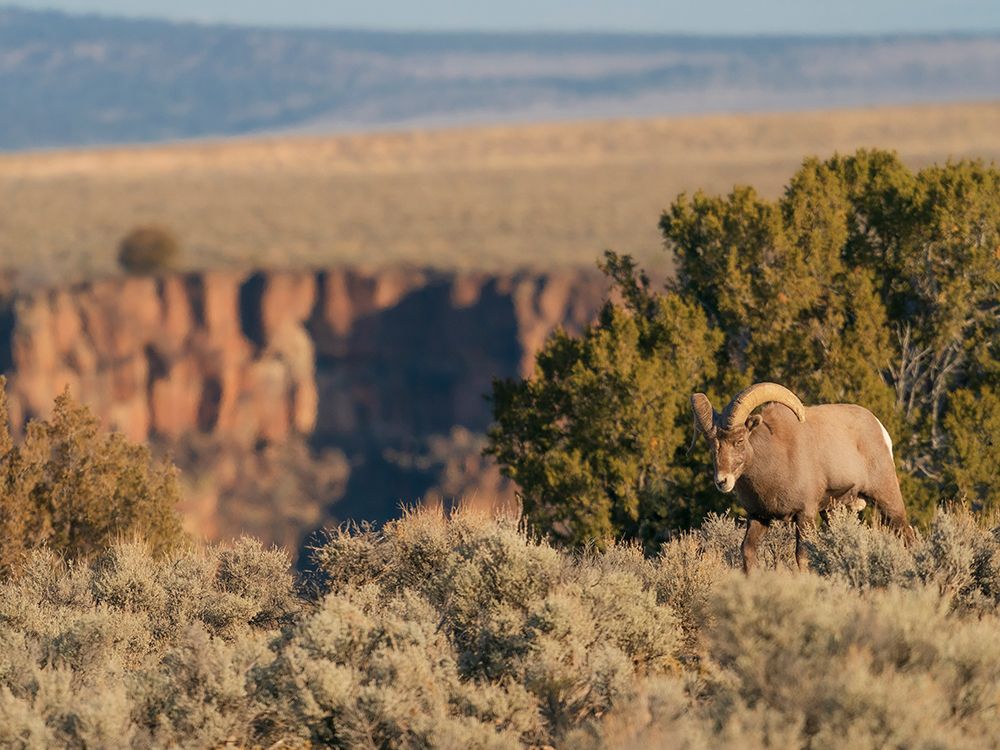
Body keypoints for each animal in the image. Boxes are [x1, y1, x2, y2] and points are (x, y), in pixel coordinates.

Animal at [691, 382, 914, 572]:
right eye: (712, 446)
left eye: (738, 441)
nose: (722, 481)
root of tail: (880, 430)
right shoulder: (758, 517)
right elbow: (747, 551)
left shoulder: (804, 514)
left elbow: (802, 557)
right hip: (832, 511)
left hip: (887, 498)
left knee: (905, 533)